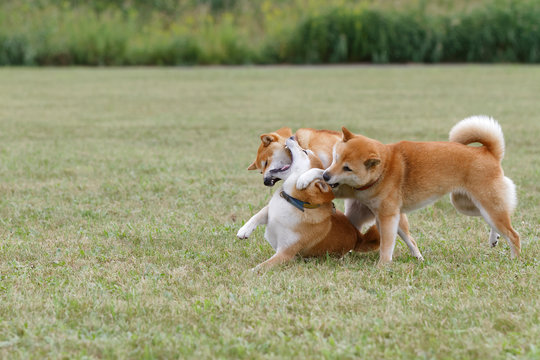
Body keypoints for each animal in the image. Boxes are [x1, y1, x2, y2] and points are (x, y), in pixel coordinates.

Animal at [236, 138, 380, 270]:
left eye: (304, 151)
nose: (292, 137)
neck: (295, 202)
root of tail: (359, 237)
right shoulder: (271, 210)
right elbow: (259, 214)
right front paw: (244, 230)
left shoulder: (285, 253)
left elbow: (261, 267)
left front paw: (250, 272)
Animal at [298, 115, 520, 264]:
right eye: (336, 158)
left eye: (347, 168)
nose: (328, 177)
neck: (384, 170)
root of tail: (488, 152)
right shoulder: (350, 190)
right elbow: (317, 171)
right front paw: (303, 178)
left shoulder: (388, 216)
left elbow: (387, 244)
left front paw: (382, 266)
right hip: (466, 204)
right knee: (495, 221)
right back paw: (494, 238)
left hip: (485, 203)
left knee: (513, 234)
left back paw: (514, 260)